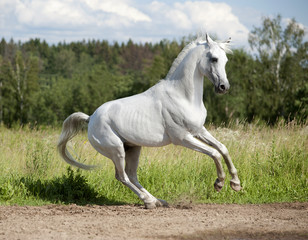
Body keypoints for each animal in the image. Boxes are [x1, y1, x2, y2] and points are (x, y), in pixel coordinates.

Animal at [57, 33, 241, 208]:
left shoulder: (199, 131)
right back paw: (149, 202)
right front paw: (219, 183)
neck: (182, 96)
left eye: (225, 60)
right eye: (214, 58)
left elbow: (222, 148)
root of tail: (90, 118)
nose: (224, 87)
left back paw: (157, 200)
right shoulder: (182, 138)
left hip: (133, 148)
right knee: (122, 177)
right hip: (116, 150)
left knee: (132, 175)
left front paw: (235, 183)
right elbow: (214, 153)